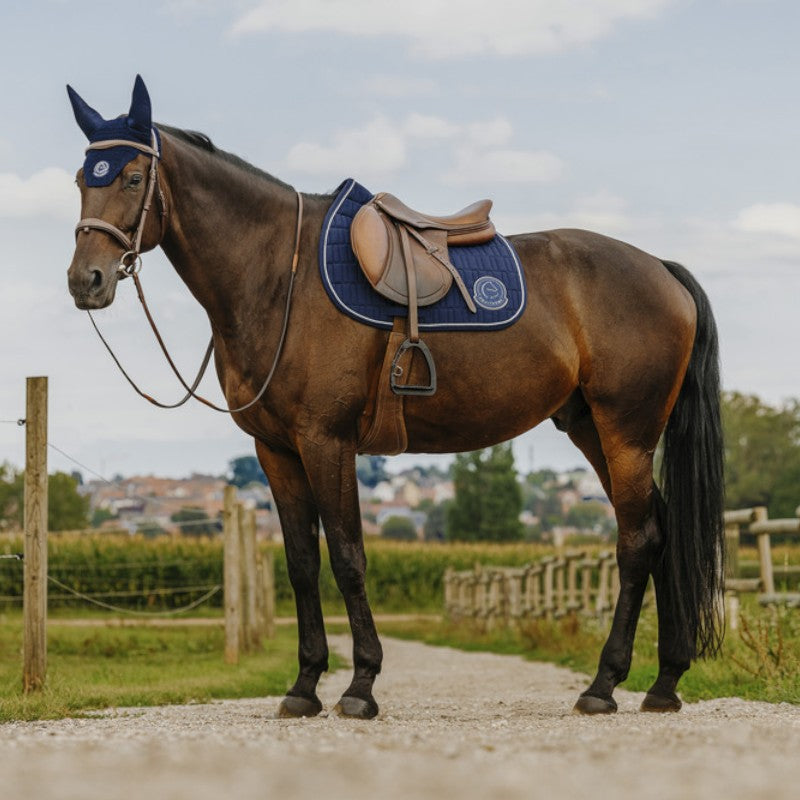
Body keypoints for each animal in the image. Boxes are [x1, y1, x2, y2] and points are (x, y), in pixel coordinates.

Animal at [66, 76, 725, 719]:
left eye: (132, 177)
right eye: (80, 179)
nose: (84, 280)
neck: (280, 276)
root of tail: (661, 269)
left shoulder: (327, 442)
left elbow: (348, 558)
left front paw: (360, 685)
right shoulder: (276, 451)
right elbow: (302, 565)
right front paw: (305, 685)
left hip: (626, 433)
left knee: (637, 543)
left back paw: (605, 685)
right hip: (591, 428)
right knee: (661, 532)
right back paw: (664, 682)